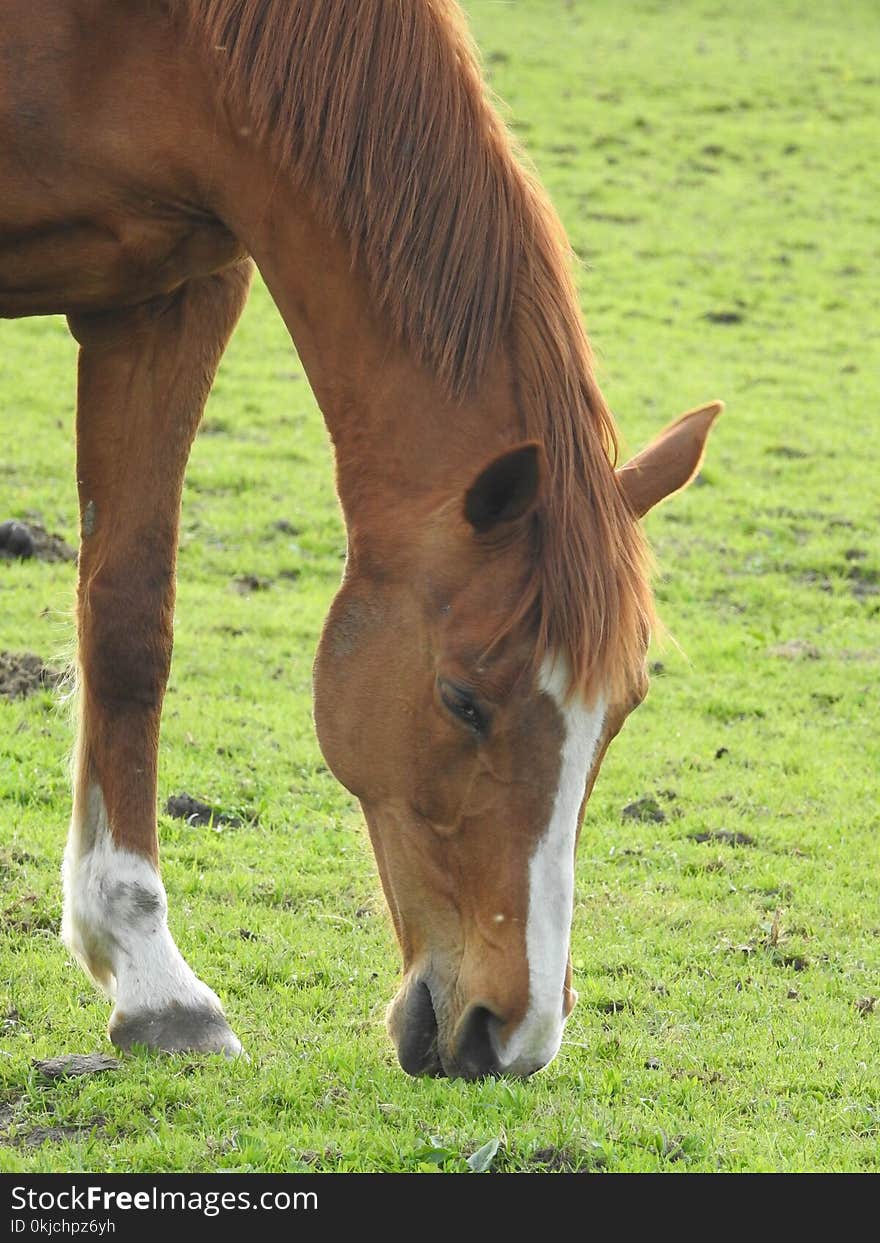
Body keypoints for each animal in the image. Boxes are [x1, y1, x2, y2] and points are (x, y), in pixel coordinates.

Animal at [1, 2, 720, 1078]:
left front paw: (151, 979)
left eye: (621, 711)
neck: (167, 37)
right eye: (462, 700)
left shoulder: (171, 294)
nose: (514, 1037)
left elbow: (128, 625)